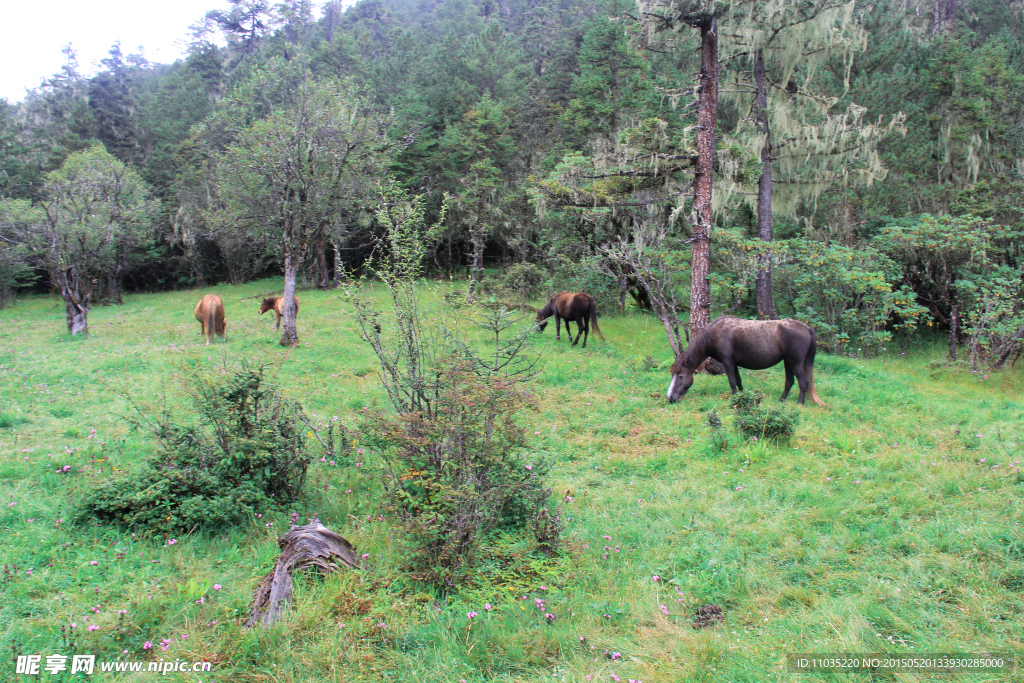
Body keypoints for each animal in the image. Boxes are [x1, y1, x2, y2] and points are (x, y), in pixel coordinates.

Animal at [667, 317, 827, 405]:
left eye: (680, 376)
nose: (670, 398)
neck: (714, 334)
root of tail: (807, 328)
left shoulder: (728, 362)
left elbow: (732, 382)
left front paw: (734, 399)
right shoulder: (734, 363)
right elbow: (739, 381)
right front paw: (743, 398)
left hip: (796, 362)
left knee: (803, 382)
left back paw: (800, 403)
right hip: (788, 361)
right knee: (789, 381)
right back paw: (782, 401)